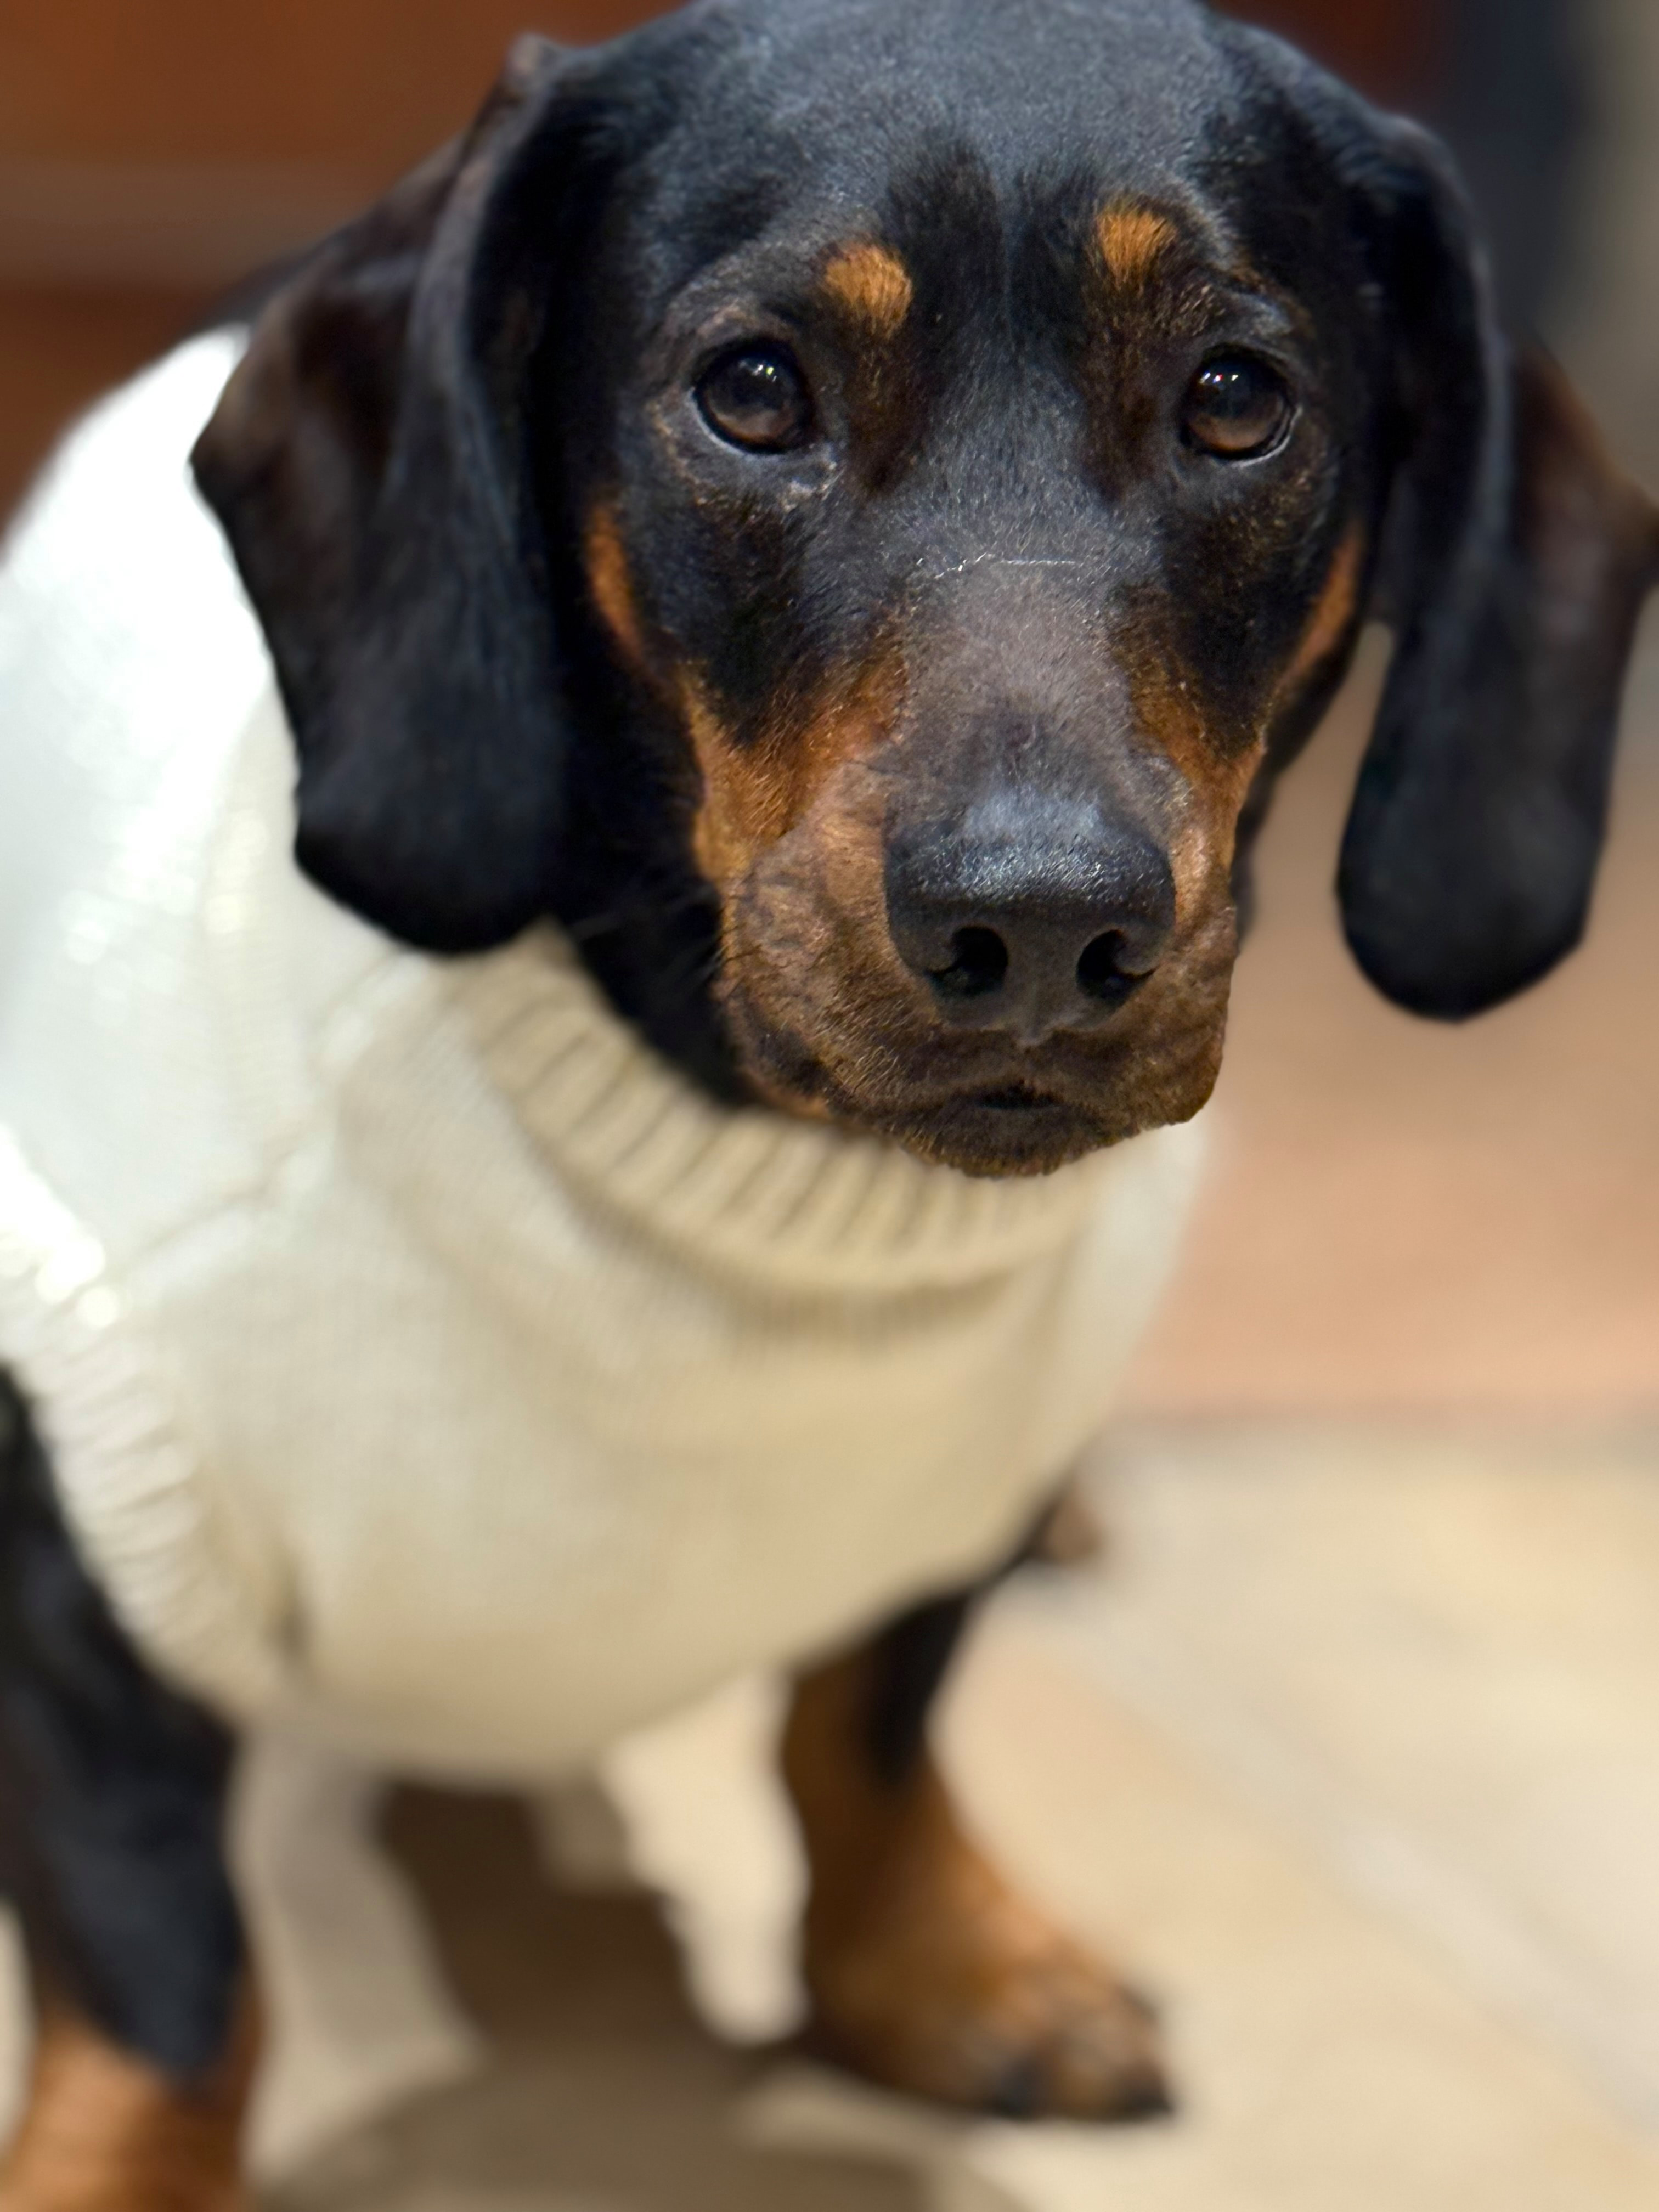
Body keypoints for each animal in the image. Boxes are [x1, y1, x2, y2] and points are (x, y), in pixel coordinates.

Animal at [0, 0, 1654, 2200]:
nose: (1037, 926)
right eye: (753, 390)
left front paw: (940, 1965)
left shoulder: (963, 1469)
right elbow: (175, 1982)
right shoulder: (96, 1556)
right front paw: (108, 2168)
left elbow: (871, 1712)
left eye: (1237, 398)